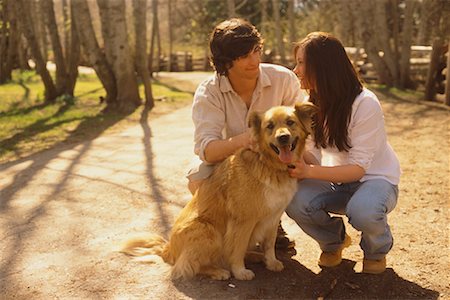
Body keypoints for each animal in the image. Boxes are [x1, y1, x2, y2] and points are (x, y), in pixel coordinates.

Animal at [119, 102, 316, 280]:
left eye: (290, 122)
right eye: (270, 126)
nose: (283, 137)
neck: (269, 165)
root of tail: (169, 249)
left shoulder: (273, 217)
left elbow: (269, 244)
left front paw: (271, 262)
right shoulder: (243, 221)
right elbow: (237, 248)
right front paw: (240, 272)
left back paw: (255, 256)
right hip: (208, 232)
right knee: (187, 267)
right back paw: (219, 271)